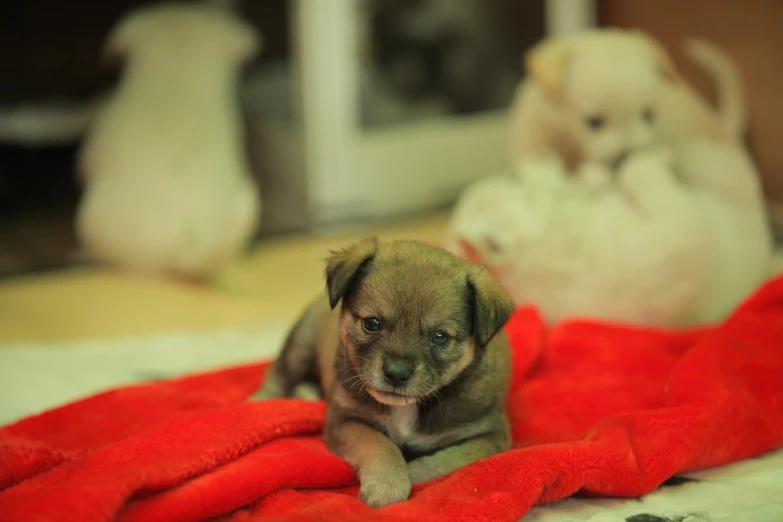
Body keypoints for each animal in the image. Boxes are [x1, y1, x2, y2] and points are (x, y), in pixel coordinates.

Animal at [251, 238, 516, 506]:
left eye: (440, 337)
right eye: (371, 323)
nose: (396, 373)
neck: (407, 409)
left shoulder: (491, 436)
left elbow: (451, 459)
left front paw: (413, 473)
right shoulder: (346, 419)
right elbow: (380, 445)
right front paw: (388, 485)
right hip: (301, 343)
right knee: (278, 374)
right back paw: (260, 403)